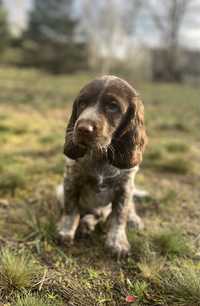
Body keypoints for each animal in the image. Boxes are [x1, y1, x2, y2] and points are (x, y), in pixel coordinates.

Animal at [57, 74, 148, 256]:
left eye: (113, 107)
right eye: (82, 103)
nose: (83, 128)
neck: (101, 157)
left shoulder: (125, 187)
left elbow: (119, 215)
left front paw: (117, 242)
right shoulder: (71, 180)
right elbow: (71, 209)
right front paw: (66, 231)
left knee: (126, 209)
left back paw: (133, 220)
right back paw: (87, 224)